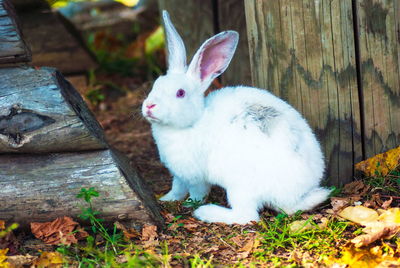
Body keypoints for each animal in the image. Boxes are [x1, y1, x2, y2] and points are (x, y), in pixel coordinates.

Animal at [142, 10, 330, 224]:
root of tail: (295, 197)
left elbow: (197, 192)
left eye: (180, 93)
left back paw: (207, 212)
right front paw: (166, 199)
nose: (149, 106)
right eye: (156, 84)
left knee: (246, 216)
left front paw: (190, 204)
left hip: (240, 186)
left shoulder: (195, 177)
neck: (193, 122)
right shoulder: (179, 176)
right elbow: (177, 188)